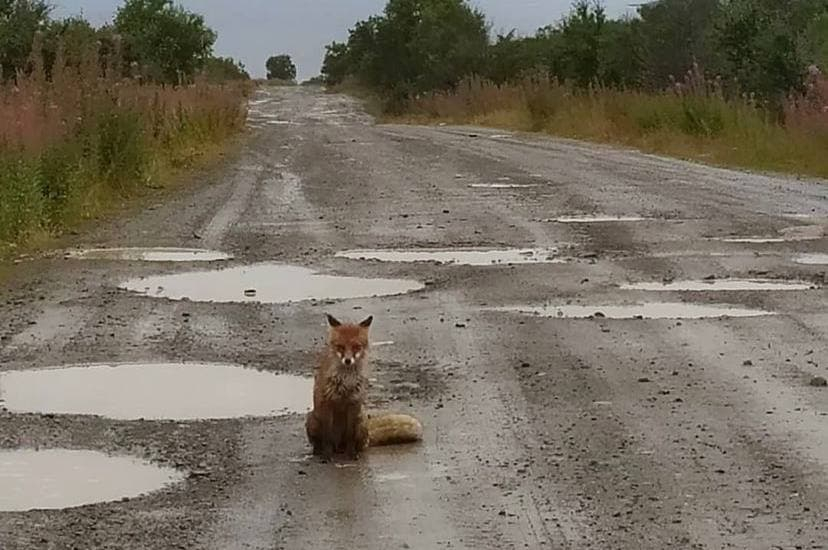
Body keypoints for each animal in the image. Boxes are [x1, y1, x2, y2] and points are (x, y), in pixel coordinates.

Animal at [305, 313, 423, 459]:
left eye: (356, 346)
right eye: (340, 347)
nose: (348, 360)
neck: (347, 380)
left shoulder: (354, 403)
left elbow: (350, 436)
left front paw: (351, 455)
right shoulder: (327, 402)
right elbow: (327, 437)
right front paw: (327, 456)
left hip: (360, 421)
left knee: (359, 445)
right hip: (313, 420)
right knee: (321, 442)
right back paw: (319, 451)